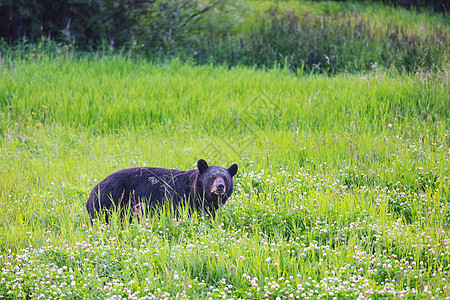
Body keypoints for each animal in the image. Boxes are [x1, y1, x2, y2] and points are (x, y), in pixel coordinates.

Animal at [85, 159, 239, 223]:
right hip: (107, 202)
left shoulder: (208, 207)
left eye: (225, 178)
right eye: (212, 177)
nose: (220, 187)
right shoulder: (178, 199)